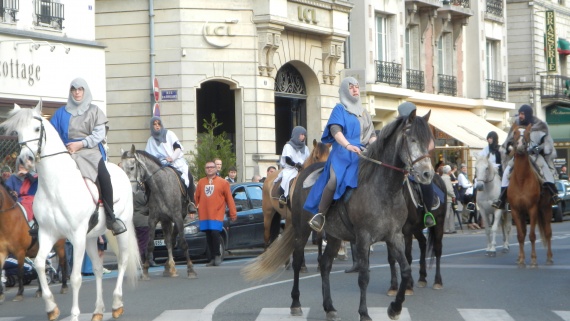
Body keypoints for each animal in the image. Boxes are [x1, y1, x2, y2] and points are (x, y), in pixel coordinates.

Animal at [0, 102, 140, 320]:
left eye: (37, 129)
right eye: (17, 132)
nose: (26, 160)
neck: (55, 186)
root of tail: (120, 171)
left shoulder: (76, 236)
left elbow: (75, 278)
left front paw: (74, 314)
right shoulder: (47, 234)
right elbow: (39, 264)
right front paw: (51, 307)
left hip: (119, 229)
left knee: (123, 260)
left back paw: (117, 305)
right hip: (91, 237)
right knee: (97, 268)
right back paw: (98, 311)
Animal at [119, 144, 195, 278]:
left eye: (132, 167)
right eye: (121, 168)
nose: (129, 190)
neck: (160, 186)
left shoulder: (178, 218)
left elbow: (183, 243)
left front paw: (190, 269)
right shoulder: (153, 219)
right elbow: (150, 245)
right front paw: (145, 270)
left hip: (180, 216)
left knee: (172, 240)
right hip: (165, 220)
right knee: (169, 241)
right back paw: (169, 266)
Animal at [242, 110, 432, 320]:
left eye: (428, 141)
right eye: (412, 139)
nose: (427, 174)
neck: (383, 190)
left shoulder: (394, 236)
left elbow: (405, 269)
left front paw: (395, 308)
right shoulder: (364, 238)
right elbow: (364, 276)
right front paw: (364, 313)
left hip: (333, 235)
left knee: (325, 264)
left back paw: (329, 307)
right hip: (300, 228)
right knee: (297, 259)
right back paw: (296, 303)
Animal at [506, 123, 552, 268]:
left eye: (527, 133)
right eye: (514, 133)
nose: (521, 145)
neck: (521, 180)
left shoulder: (533, 209)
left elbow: (532, 236)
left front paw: (533, 260)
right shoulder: (515, 210)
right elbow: (521, 236)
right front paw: (521, 260)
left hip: (546, 208)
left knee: (548, 233)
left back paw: (549, 258)